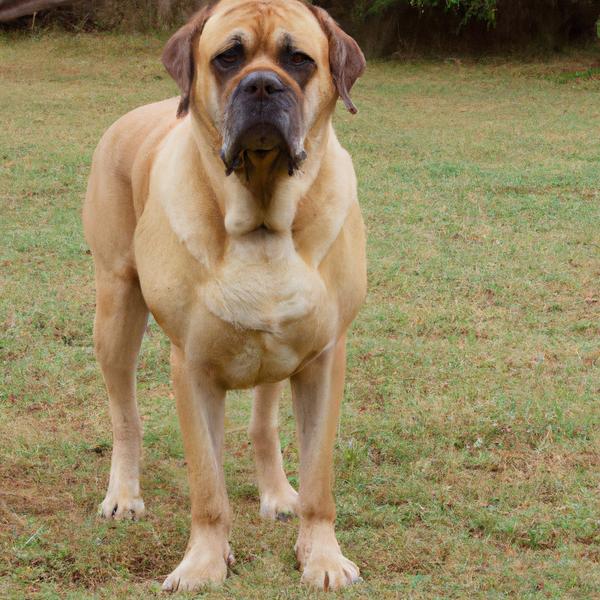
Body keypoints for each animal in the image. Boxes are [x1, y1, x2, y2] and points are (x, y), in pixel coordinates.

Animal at [82, 0, 368, 592]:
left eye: (299, 60)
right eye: (227, 58)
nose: (261, 85)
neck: (261, 218)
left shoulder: (324, 360)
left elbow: (319, 481)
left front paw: (323, 557)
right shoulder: (191, 368)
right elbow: (208, 488)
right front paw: (204, 563)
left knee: (263, 424)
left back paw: (278, 493)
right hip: (115, 312)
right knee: (125, 415)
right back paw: (123, 493)